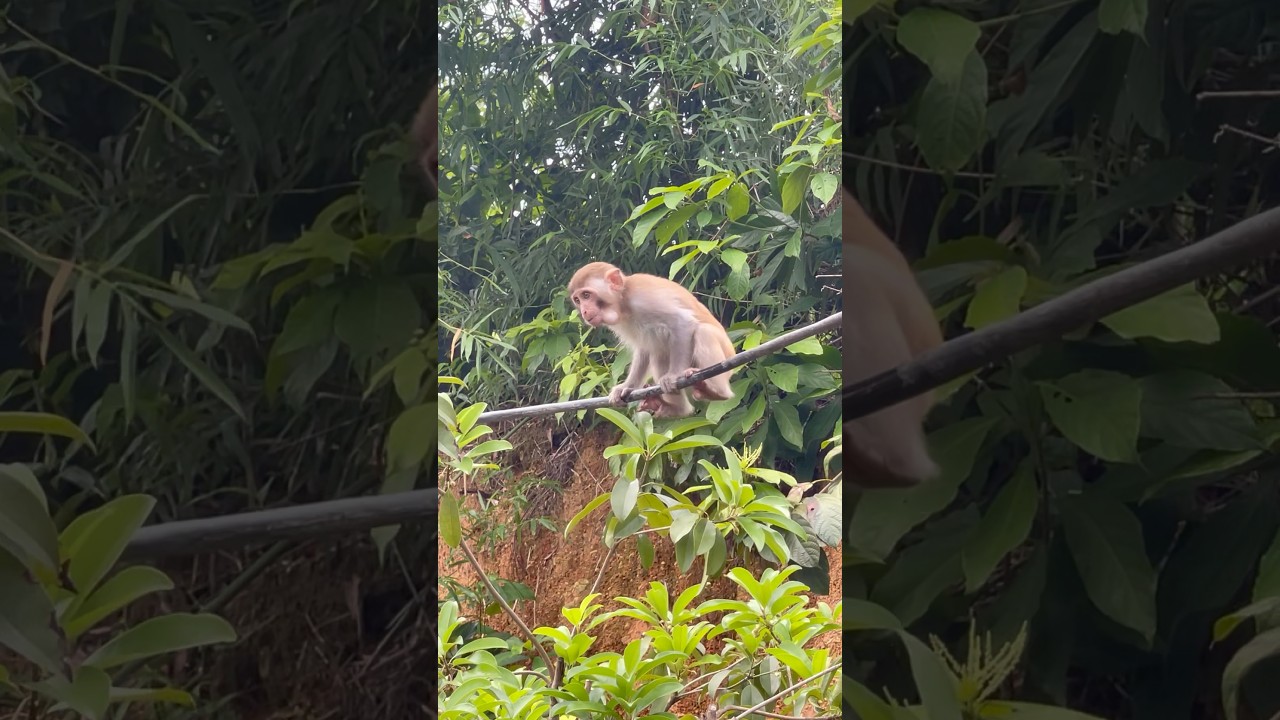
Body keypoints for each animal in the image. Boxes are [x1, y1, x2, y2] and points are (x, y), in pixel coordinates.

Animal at [567, 262, 735, 418]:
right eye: (577, 300)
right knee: (658, 354)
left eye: (586, 295)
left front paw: (674, 375)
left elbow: (682, 322)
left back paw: (717, 392)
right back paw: (677, 408)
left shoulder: (644, 298)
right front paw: (627, 386)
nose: (584, 311)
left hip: (724, 358)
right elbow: (644, 349)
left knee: (703, 332)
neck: (623, 301)